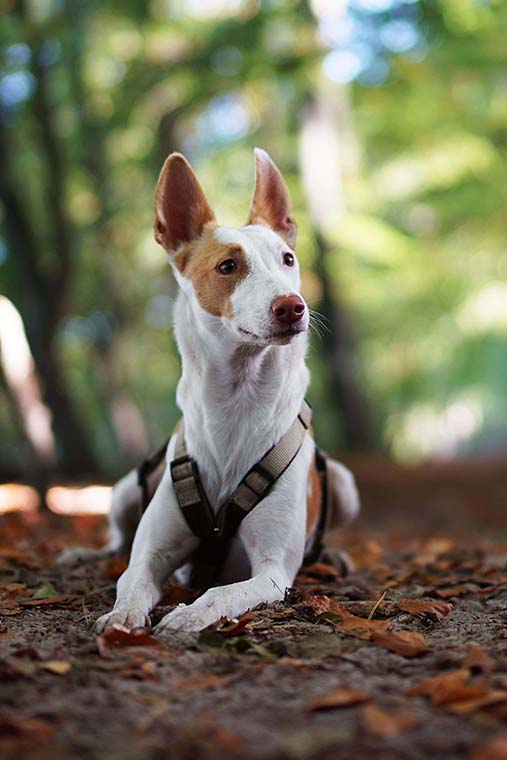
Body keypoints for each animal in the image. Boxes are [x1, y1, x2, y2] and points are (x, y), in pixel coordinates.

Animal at [60, 150, 362, 636]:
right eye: (228, 266)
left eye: (287, 259)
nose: (293, 306)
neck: (237, 404)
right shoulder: (151, 552)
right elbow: (132, 578)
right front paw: (122, 615)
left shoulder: (272, 572)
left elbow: (223, 592)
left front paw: (189, 615)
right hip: (125, 489)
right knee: (115, 543)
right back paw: (84, 555)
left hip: (343, 484)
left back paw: (332, 554)